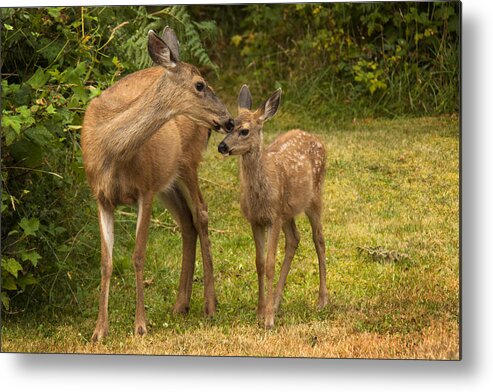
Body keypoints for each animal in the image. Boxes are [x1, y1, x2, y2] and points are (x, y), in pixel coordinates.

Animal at [81, 26, 234, 344]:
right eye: (200, 84)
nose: (228, 120)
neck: (110, 149)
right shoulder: (101, 197)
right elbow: (106, 261)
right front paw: (99, 330)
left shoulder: (146, 188)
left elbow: (139, 255)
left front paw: (140, 325)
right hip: (168, 182)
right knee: (187, 222)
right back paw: (181, 304)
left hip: (187, 163)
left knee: (201, 213)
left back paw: (209, 305)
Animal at [218, 85, 326, 328]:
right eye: (229, 126)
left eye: (244, 131)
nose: (222, 146)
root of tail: (316, 138)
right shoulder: (256, 220)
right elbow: (259, 263)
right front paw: (260, 312)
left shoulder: (274, 217)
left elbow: (269, 264)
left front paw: (268, 320)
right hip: (288, 211)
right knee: (295, 239)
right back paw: (275, 302)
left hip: (314, 197)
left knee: (319, 240)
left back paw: (322, 301)